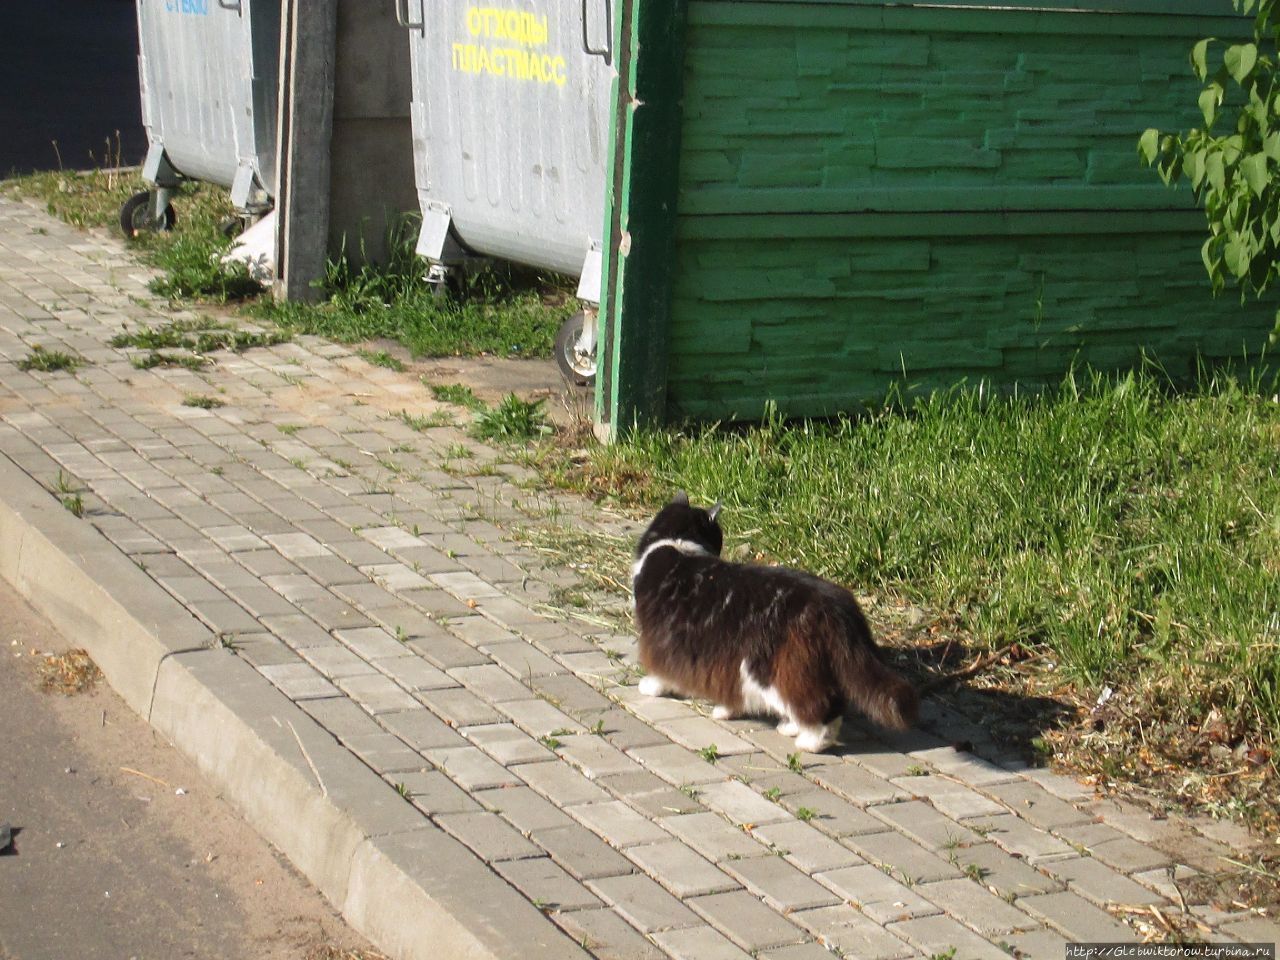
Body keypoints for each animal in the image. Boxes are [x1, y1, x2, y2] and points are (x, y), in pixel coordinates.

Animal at [632, 496, 916, 752]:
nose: (721, 547)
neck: (676, 542)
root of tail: (835, 605)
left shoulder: (661, 639)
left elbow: (661, 671)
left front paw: (652, 686)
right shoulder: (722, 660)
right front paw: (726, 710)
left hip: (768, 668)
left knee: (819, 708)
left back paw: (810, 742)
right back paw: (792, 727)